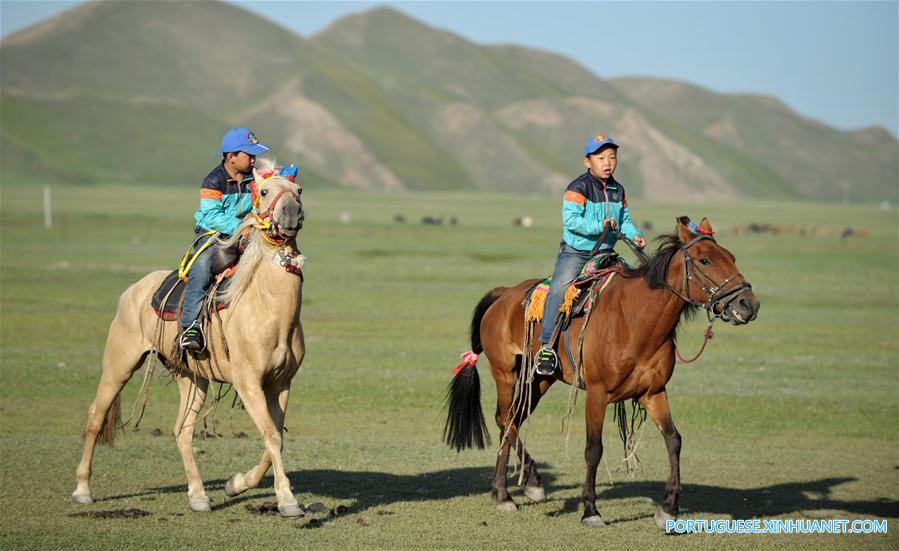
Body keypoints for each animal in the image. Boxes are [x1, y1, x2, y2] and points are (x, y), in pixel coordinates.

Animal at [71, 163, 310, 516]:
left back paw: (199, 496)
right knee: (95, 419)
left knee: (182, 431)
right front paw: (288, 501)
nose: (292, 213)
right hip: (119, 367)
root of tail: (133, 290)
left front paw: (236, 484)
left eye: (299, 190)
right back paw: (83, 490)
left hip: (192, 378)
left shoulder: (280, 383)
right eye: (265, 191)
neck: (268, 307)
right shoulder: (248, 382)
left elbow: (275, 438)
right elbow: (270, 434)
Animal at [442, 217, 760, 532]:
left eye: (731, 257)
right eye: (705, 260)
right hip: (506, 374)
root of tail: (502, 294)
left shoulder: (653, 392)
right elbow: (593, 449)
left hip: (541, 379)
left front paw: (668, 509)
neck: (635, 320)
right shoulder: (597, 393)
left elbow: (674, 440)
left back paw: (529, 484)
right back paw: (504, 495)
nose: (749, 304)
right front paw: (590, 510)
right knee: (506, 420)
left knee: (512, 420)